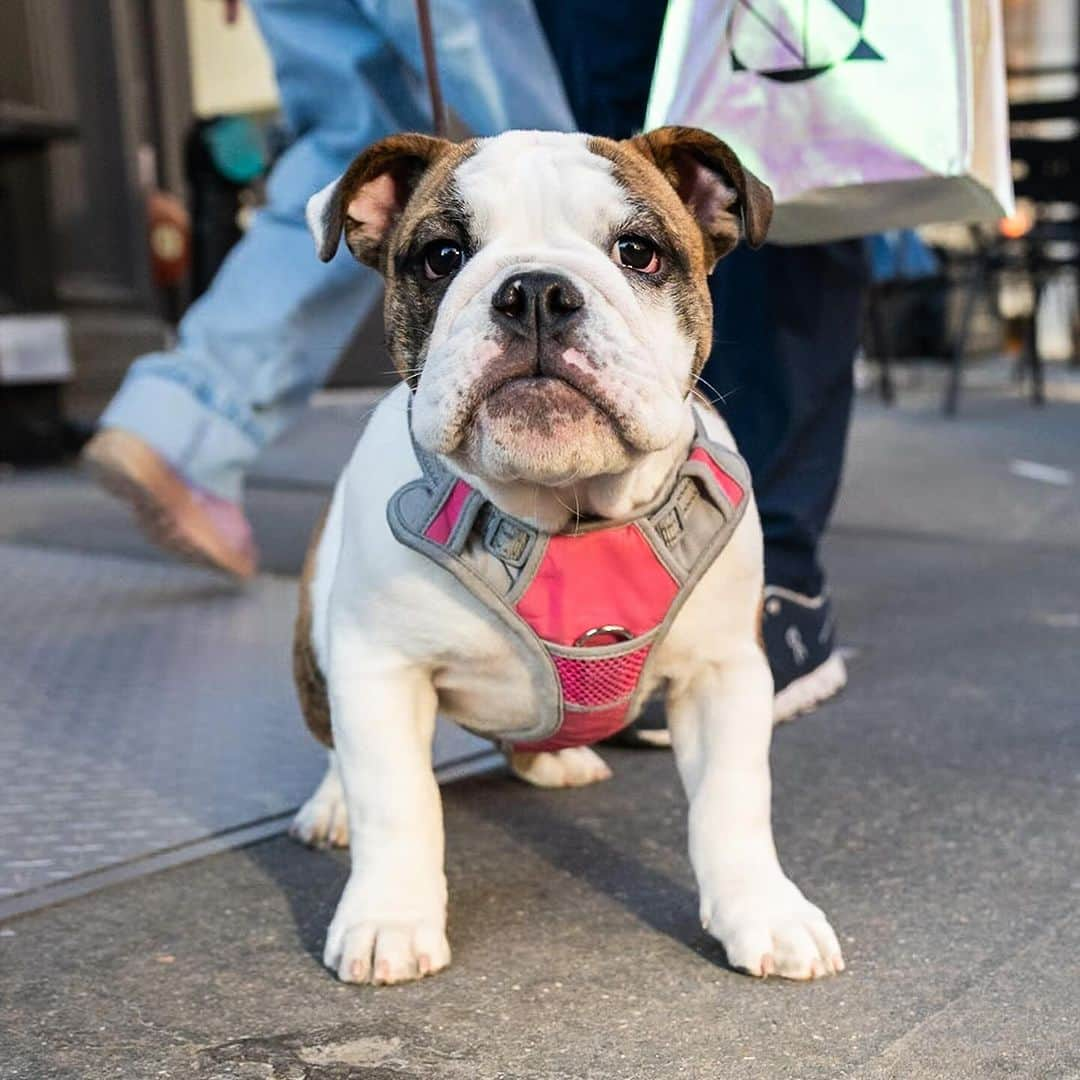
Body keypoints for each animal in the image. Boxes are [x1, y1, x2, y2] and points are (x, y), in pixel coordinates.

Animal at [289, 126, 842, 989]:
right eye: (441, 256)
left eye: (638, 252)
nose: (536, 293)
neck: (566, 507)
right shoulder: (380, 670)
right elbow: (398, 802)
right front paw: (390, 919)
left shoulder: (725, 674)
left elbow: (734, 802)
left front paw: (765, 912)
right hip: (318, 642)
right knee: (335, 745)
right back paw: (332, 804)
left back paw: (554, 758)